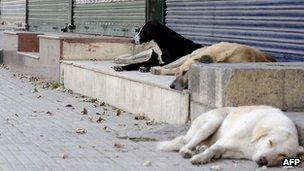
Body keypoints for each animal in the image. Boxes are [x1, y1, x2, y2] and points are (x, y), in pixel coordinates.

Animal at [158, 105, 302, 167]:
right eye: (270, 142)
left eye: (283, 155)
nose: (263, 161)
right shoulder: (224, 142)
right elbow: (214, 148)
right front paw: (200, 158)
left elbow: (215, 151)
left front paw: (205, 155)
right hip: (214, 120)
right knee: (188, 143)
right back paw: (188, 151)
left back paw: (200, 149)